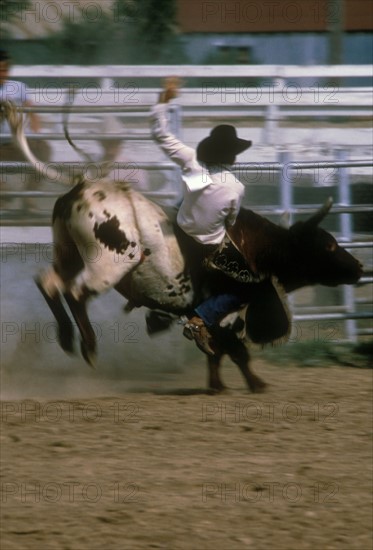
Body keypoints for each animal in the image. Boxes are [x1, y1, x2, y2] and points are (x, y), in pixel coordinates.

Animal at [2, 103, 364, 394]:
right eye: (329, 245)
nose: (360, 267)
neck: (256, 249)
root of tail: (85, 184)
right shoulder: (229, 311)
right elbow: (234, 349)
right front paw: (254, 383)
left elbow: (219, 351)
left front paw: (218, 384)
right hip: (111, 263)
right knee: (75, 292)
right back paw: (88, 346)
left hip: (67, 252)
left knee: (49, 282)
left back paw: (66, 338)